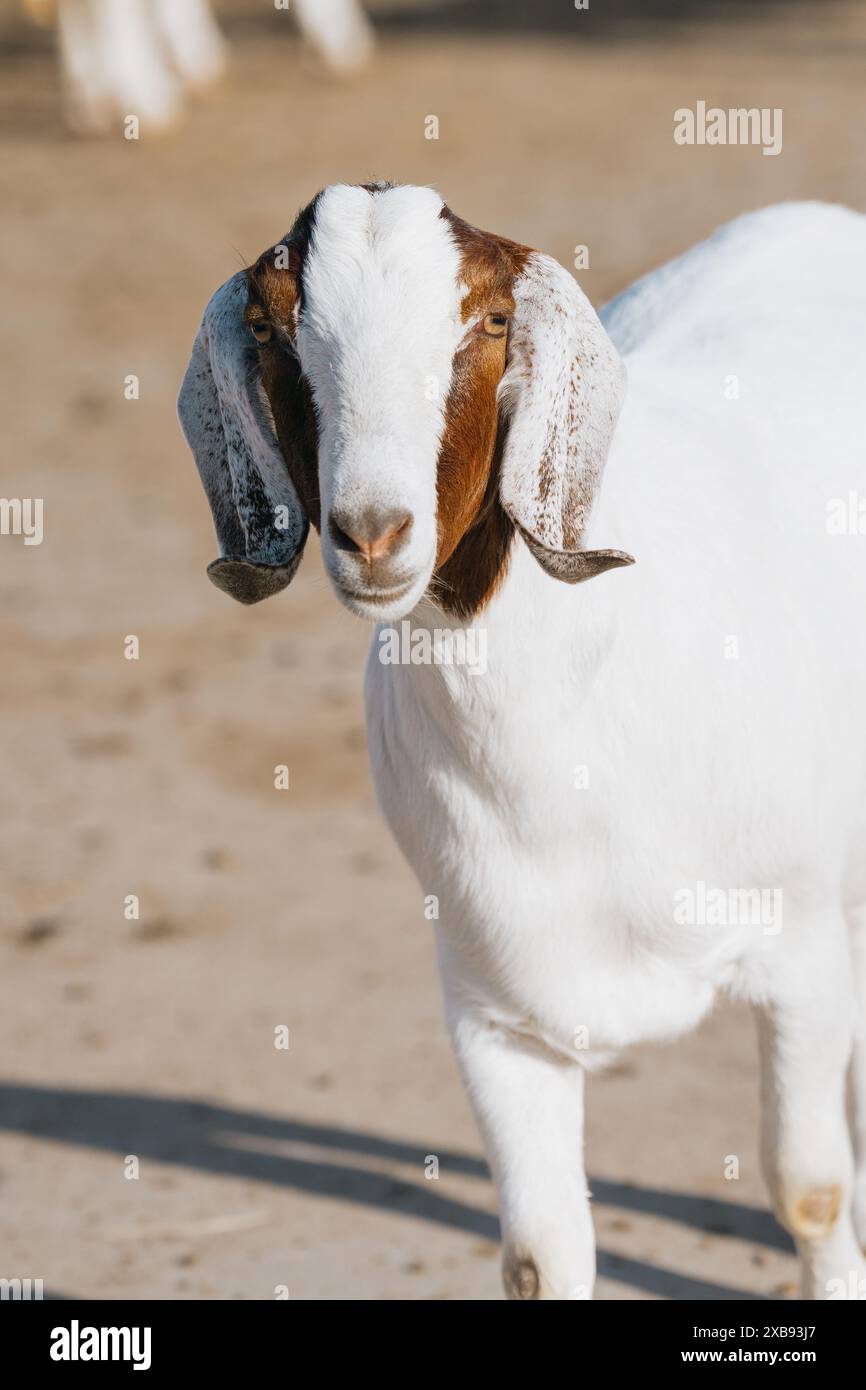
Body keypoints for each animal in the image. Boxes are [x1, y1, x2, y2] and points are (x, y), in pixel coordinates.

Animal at [179, 183, 866, 1300]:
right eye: (270, 329)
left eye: (492, 321)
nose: (373, 534)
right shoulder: (492, 1013)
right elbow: (540, 1256)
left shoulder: (796, 951)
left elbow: (809, 1190)